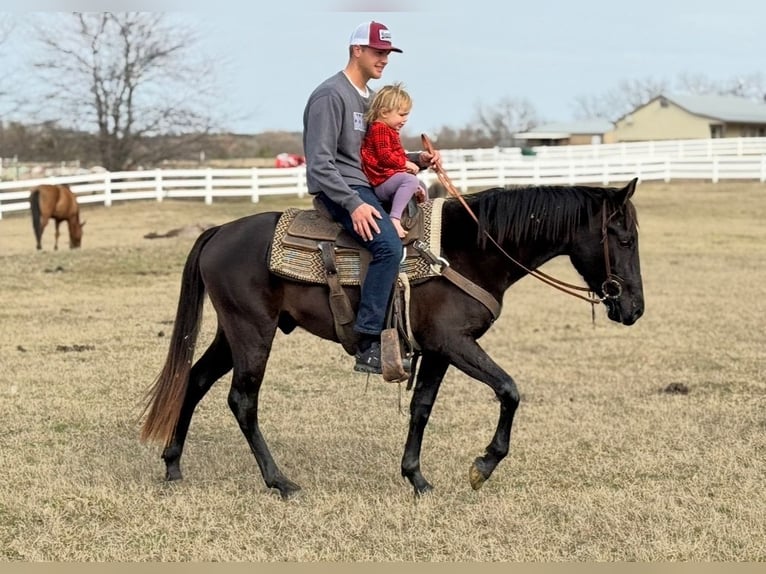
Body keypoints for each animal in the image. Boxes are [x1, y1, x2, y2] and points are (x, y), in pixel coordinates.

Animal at [140, 178, 644, 499]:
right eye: (623, 239)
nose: (634, 308)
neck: (469, 250)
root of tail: (219, 231)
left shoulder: (439, 350)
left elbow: (422, 407)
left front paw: (416, 478)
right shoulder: (456, 343)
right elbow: (509, 390)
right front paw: (481, 467)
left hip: (232, 332)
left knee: (195, 381)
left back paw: (173, 465)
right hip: (252, 332)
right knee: (242, 401)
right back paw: (279, 481)